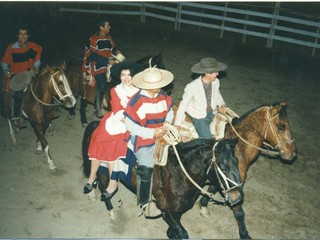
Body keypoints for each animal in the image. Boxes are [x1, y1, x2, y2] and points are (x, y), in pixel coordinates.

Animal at [82, 121, 242, 239]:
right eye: (222, 167)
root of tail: (96, 125)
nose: (237, 197)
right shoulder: (166, 210)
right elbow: (182, 233)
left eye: (237, 161)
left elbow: (174, 229)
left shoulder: (178, 211)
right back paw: (110, 210)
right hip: (104, 173)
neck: (179, 174)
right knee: (104, 187)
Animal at [198, 101, 298, 238]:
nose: (292, 154)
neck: (238, 149)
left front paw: (203, 206)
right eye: (281, 127)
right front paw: (244, 234)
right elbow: (239, 213)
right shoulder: (232, 185)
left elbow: (211, 189)